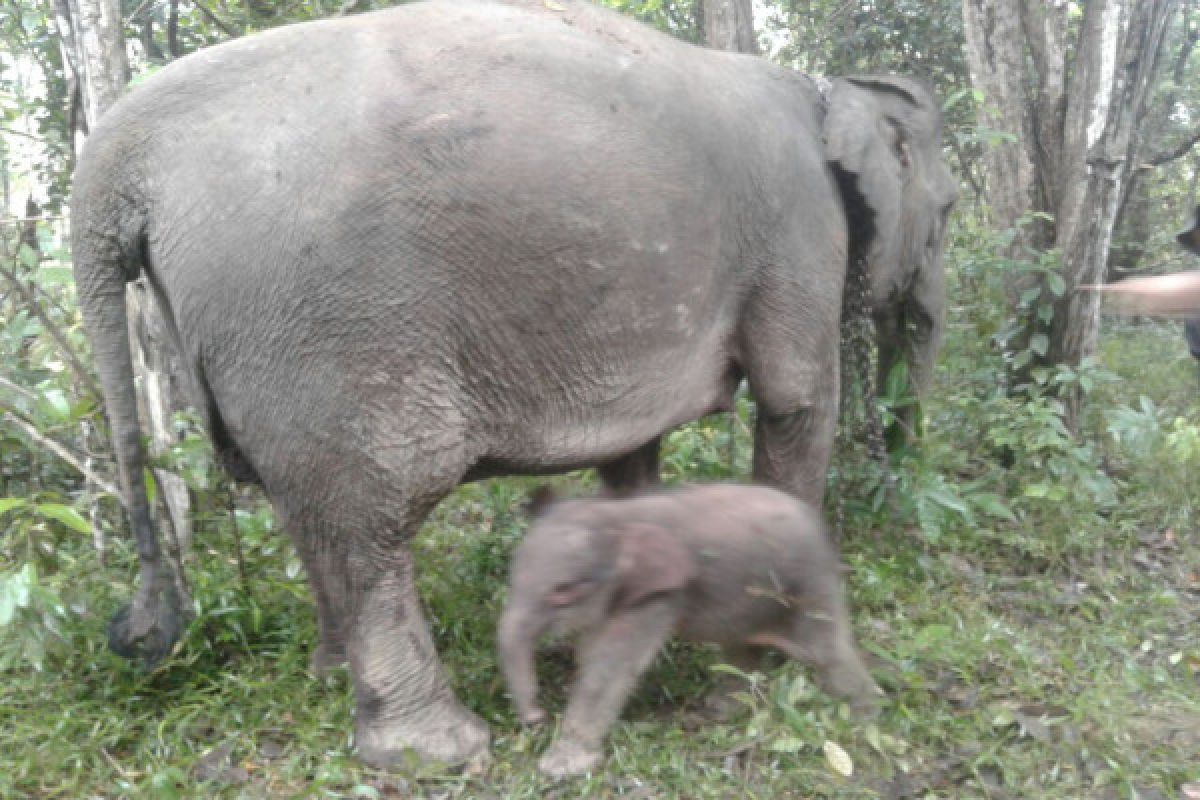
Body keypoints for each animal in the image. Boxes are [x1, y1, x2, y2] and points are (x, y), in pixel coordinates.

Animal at [496, 482, 883, 777]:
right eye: (512, 575)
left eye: (563, 591)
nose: (536, 718)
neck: (620, 515)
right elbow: (594, 651)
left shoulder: (661, 593)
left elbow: (609, 667)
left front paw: (560, 767)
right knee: (742, 649)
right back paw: (720, 710)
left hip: (808, 585)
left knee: (827, 651)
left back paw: (865, 719)